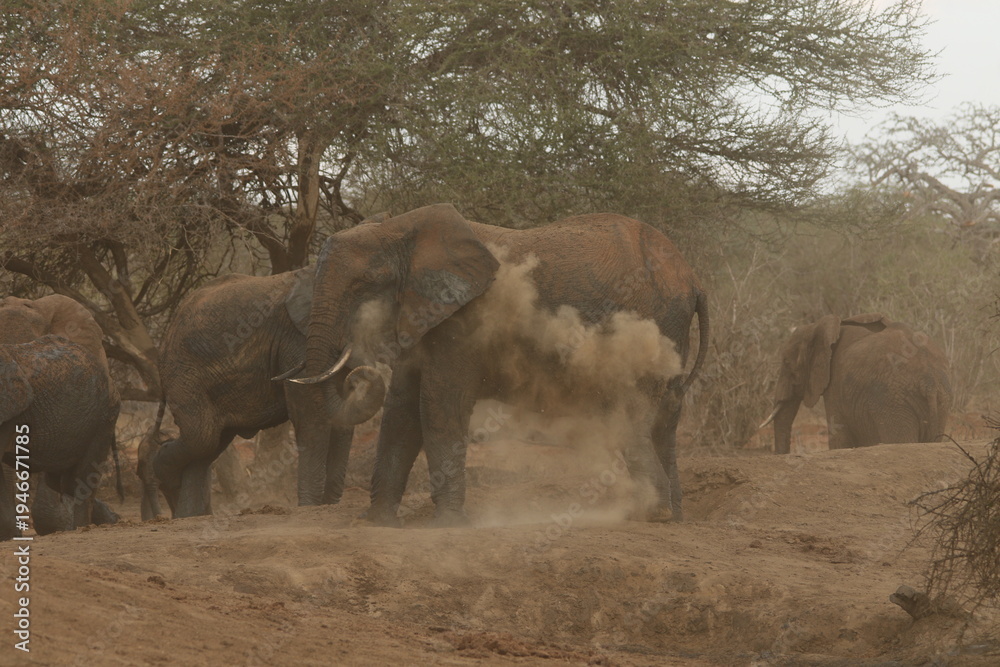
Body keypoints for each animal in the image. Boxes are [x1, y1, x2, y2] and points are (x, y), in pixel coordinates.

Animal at [149, 266, 356, 518]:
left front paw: (328, 505)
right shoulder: (295, 339)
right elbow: (311, 413)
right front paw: (310, 507)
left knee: (208, 446)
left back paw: (188, 515)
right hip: (182, 372)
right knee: (201, 437)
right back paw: (167, 480)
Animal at [282, 203, 709, 526]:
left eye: (364, 284)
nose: (359, 373)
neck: (401, 228)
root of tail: (692, 277)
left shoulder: (461, 320)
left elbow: (438, 406)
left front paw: (446, 525)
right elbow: (401, 409)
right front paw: (378, 522)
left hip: (656, 322)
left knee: (633, 413)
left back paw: (652, 513)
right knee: (663, 422)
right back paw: (673, 517)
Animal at [762, 313, 952, 453]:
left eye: (787, 363)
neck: (819, 327)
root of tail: (929, 382)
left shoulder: (835, 383)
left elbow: (839, 438)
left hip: (893, 401)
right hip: (940, 399)